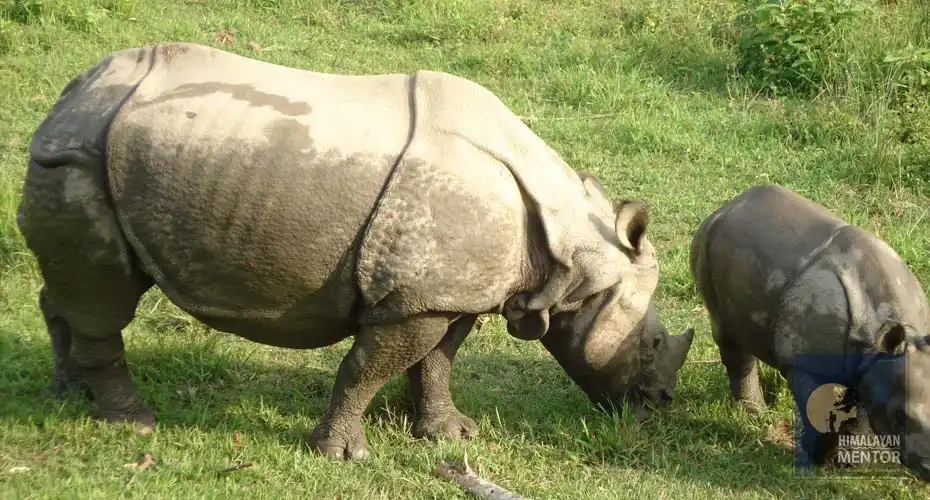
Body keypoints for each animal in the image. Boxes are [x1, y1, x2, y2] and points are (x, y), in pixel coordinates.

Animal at [17, 42, 694, 460]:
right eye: (654, 342)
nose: (659, 406)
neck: (568, 257)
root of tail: (68, 97)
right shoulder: (416, 298)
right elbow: (365, 368)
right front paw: (344, 455)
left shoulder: (448, 292)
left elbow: (437, 362)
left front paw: (449, 437)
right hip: (76, 161)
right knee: (104, 297)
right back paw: (134, 421)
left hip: (98, 161)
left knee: (82, 288)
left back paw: (67, 396)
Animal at [690, 184, 930, 480]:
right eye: (901, 416)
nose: (929, 467)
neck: (880, 332)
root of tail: (725, 207)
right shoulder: (805, 363)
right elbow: (815, 403)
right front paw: (817, 460)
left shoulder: (873, 363)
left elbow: (863, 405)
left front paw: (848, 462)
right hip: (707, 244)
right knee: (727, 333)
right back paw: (753, 414)